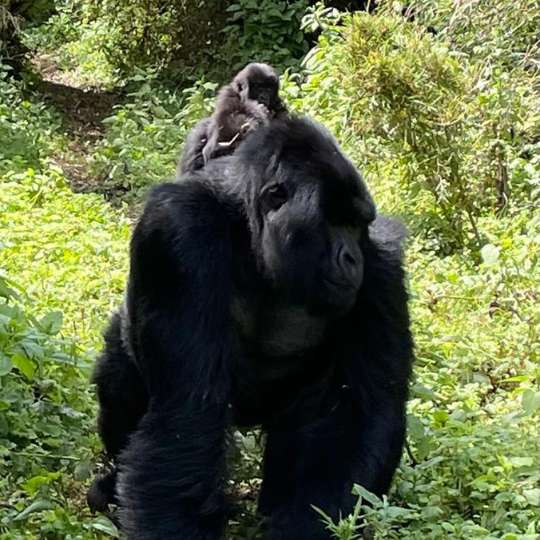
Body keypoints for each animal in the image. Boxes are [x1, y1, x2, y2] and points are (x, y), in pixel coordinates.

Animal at [88, 117, 414, 540]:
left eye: (357, 224)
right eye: (333, 222)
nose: (351, 258)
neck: (250, 230)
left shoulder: (382, 261)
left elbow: (361, 413)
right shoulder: (178, 232)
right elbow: (187, 413)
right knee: (119, 377)